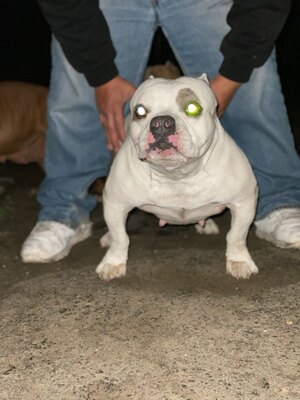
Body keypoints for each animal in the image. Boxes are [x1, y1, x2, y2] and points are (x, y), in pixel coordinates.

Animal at [95, 76, 258, 282]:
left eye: (192, 107)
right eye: (140, 111)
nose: (161, 123)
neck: (177, 175)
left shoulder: (244, 202)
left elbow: (237, 235)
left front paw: (239, 261)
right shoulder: (115, 203)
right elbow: (120, 237)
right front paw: (113, 262)